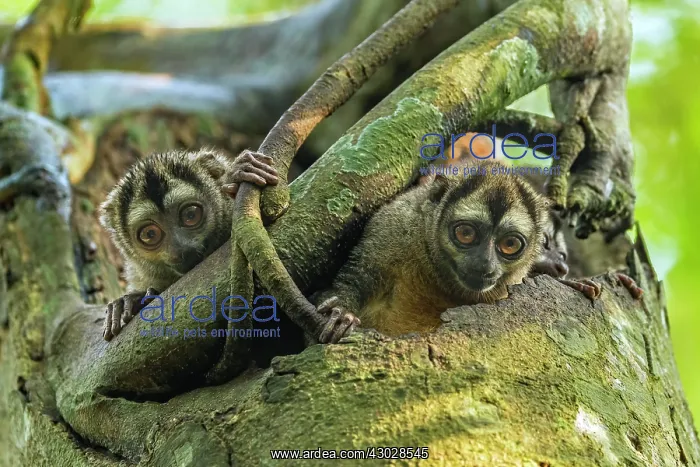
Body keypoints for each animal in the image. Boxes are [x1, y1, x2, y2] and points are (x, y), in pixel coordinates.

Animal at [313, 160, 551, 337]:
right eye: (466, 234)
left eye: (510, 245)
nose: (485, 264)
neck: (441, 279)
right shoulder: (393, 225)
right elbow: (360, 273)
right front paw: (343, 314)